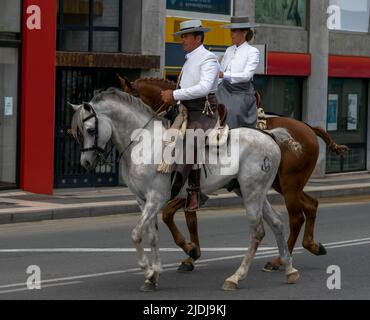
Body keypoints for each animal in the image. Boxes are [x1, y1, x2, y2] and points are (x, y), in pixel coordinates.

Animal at [70, 89, 300, 292]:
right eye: (78, 132)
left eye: (90, 130)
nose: (86, 162)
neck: (144, 143)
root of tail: (269, 136)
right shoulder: (143, 201)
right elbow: (152, 236)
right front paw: (153, 276)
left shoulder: (156, 199)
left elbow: (136, 234)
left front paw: (147, 269)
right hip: (250, 192)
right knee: (277, 223)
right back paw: (289, 269)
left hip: (252, 192)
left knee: (258, 231)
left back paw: (236, 277)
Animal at [117, 75, 348, 272]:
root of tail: (307, 127)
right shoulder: (190, 190)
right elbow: (187, 218)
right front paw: (192, 254)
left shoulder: (188, 188)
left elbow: (171, 215)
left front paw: (191, 251)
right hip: (284, 184)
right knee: (311, 205)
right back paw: (311, 246)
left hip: (290, 183)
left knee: (296, 217)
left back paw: (279, 261)